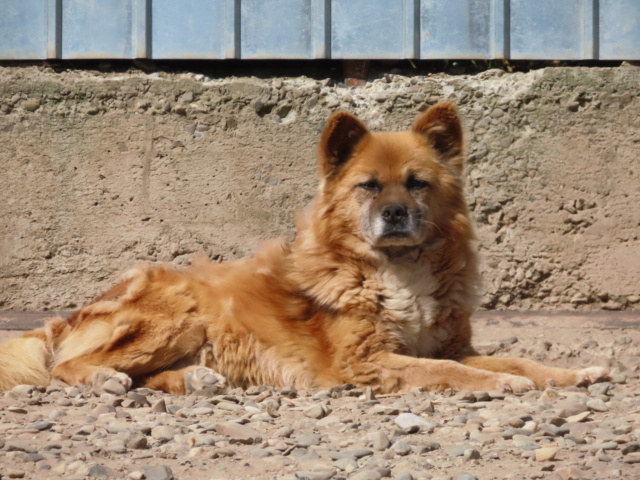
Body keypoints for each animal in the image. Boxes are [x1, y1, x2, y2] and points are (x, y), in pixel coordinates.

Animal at [1, 101, 608, 394]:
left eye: (417, 184)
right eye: (369, 186)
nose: (395, 214)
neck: (397, 270)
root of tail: (67, 316)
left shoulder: (450, 346)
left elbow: (518, 357)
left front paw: (571, 373)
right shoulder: (365, 362)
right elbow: (459, 373)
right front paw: (500, 383)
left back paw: (193, 380)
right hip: (178, 312)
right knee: (69, 366)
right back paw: (105, 379)